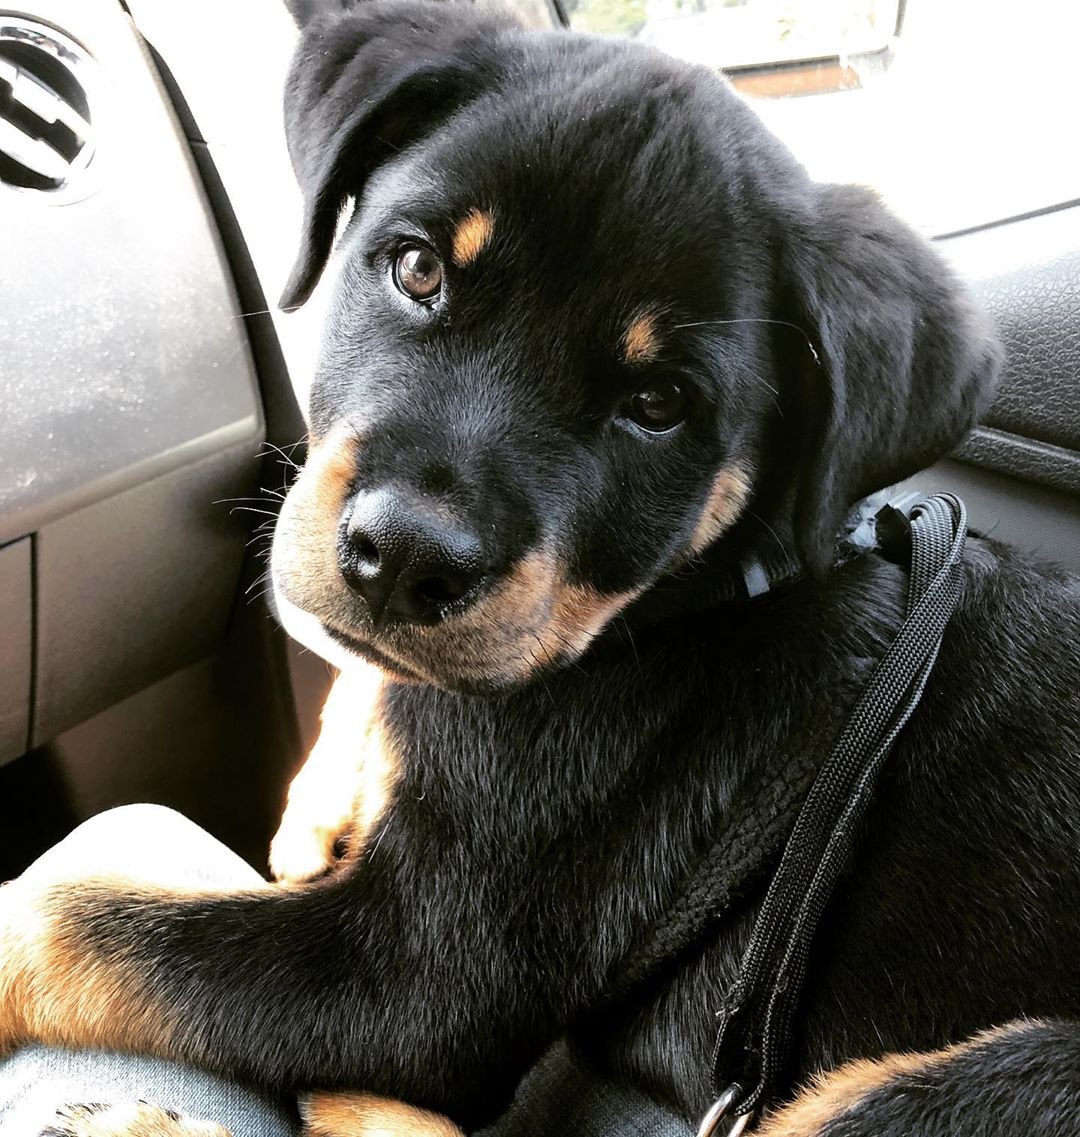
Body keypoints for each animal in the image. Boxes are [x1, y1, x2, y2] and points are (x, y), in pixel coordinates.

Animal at [2, 2, 1080, 1137]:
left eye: (659, 405)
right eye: (417, 268)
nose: (402, 561)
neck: (678, 606)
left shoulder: (418, 976)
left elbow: (68, 919)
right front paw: (324, 794)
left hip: (981, 1073)